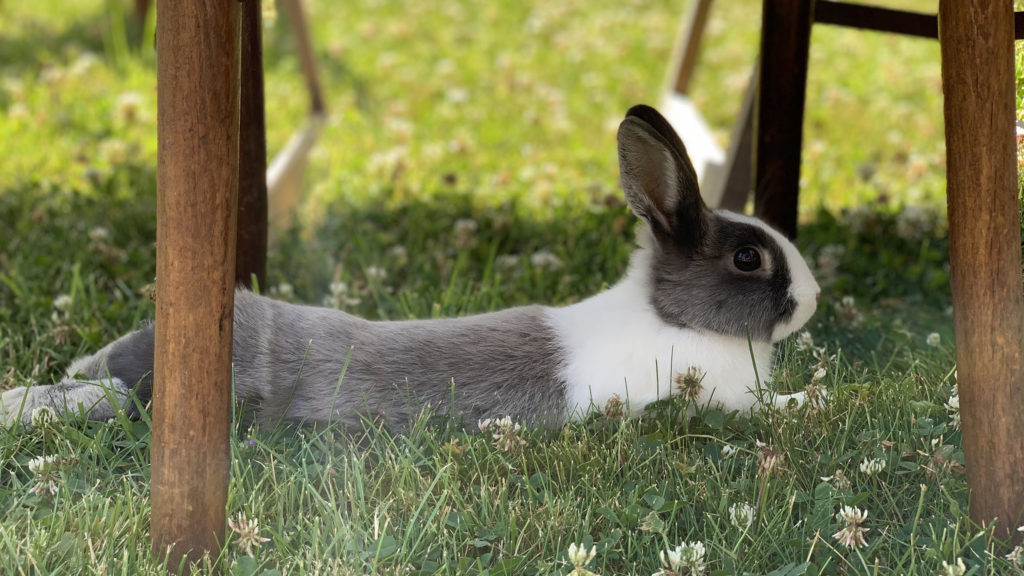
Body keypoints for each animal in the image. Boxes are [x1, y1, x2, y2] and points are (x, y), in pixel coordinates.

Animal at [1, 105, 820, 430]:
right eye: (748, 257)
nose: (813, 299)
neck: (672, 319)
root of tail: (128, 375)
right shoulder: (709, 400)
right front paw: (813, 403)